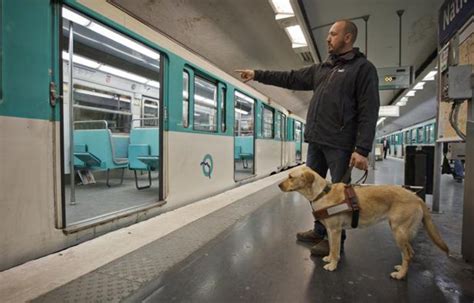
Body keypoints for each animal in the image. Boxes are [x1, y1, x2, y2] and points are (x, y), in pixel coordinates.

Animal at [280, 166, 450, 280]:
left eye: (290, 176)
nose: (279, 185)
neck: (322, 193)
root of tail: (417, 197)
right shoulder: (330, 230)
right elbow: (332, 248)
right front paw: (329, 258)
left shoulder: (335, 230)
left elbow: (335, 250)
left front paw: (333, 265)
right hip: (401, 233)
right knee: (410, 253)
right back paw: (401, 268)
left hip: (398, 231)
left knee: (407, 254)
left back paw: (401, 274)